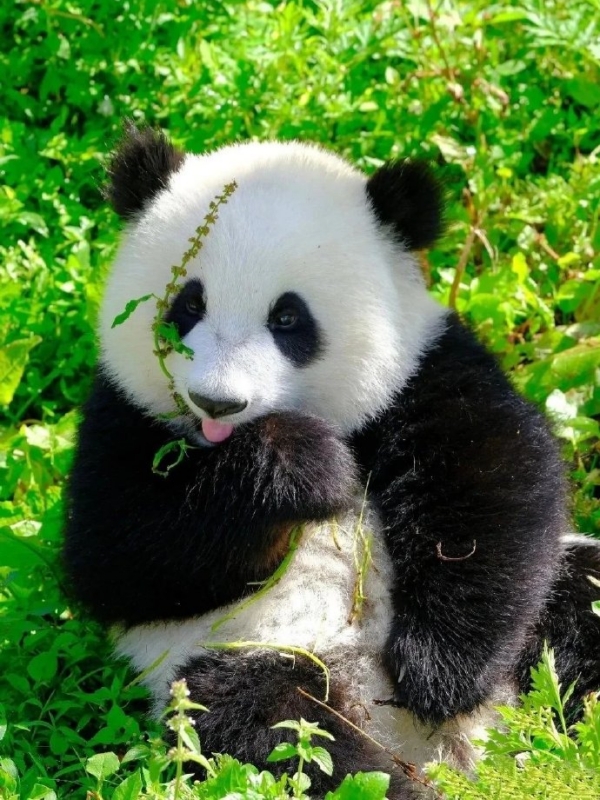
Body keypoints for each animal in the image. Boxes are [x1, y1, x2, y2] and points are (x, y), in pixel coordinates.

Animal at [63, 125, 600, 799]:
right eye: (187, 305)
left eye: (288, 317)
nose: (218, 401)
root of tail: (451, 754)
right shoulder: (121, 414)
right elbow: (117, 556)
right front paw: (303, 469)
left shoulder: (423, 371)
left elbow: (493, 485)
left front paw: (439, 675)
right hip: (251, 659)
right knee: (270, 723)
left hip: (553, 610)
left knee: (578, 596)